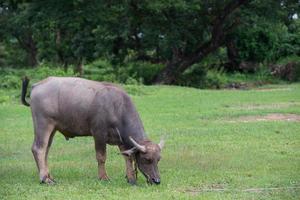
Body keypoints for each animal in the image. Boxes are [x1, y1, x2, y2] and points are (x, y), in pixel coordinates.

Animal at [21, 76, 164, 184]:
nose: (156, 180)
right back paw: (45, 179)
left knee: (46, 149)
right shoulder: (99, 134)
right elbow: (101, 157)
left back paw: (49, 175)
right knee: (38, 148)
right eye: (147, 159)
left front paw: (131, 178)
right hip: (43, 124)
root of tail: (36, 85)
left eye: (158, 159)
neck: (117, 108)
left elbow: (128, 158)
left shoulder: (121, 141)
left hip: (53, 128)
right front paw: (103, 177)